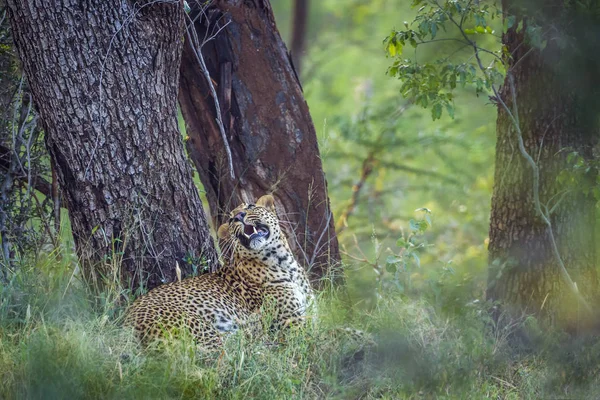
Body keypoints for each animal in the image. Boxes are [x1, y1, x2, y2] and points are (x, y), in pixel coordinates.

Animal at [125, 195, 316, 348]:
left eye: (250, 206)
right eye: (231, 220)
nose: (239, 217)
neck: (284, 263)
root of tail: (125, 323)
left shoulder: (310, 313)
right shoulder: (292, 323)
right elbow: (313, 342)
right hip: (201, 331)